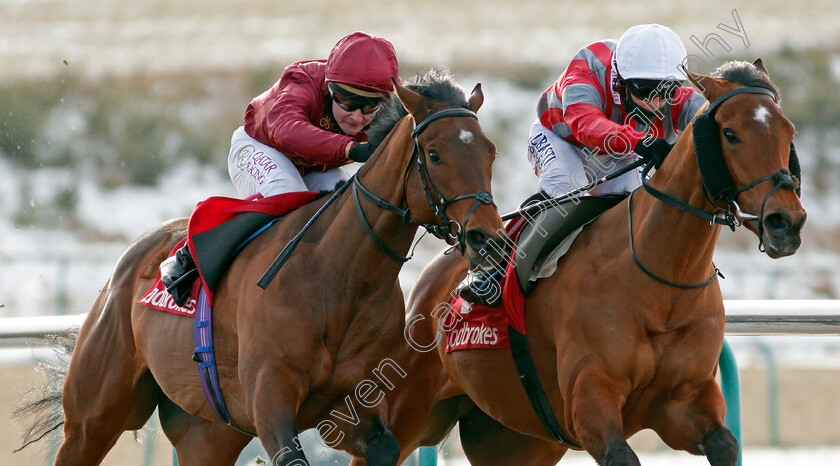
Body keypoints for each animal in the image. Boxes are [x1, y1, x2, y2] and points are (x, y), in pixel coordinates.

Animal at [16, 70, 506, 466]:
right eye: (436, 155)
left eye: (490, 153)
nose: (487, 238)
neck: (339, 277)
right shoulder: (270, 398)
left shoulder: (350, 403)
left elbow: (384, 445)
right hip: (95, 416)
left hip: (207, 432)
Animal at [380, 60, 808, 464]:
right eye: (731, 134)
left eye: (788, 132)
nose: (785, 222)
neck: (660, 280)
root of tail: (428, 280)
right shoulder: (590, 403)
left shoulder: (684, 403)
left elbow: (724, 444)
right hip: (406, 412)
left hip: (516, 439)